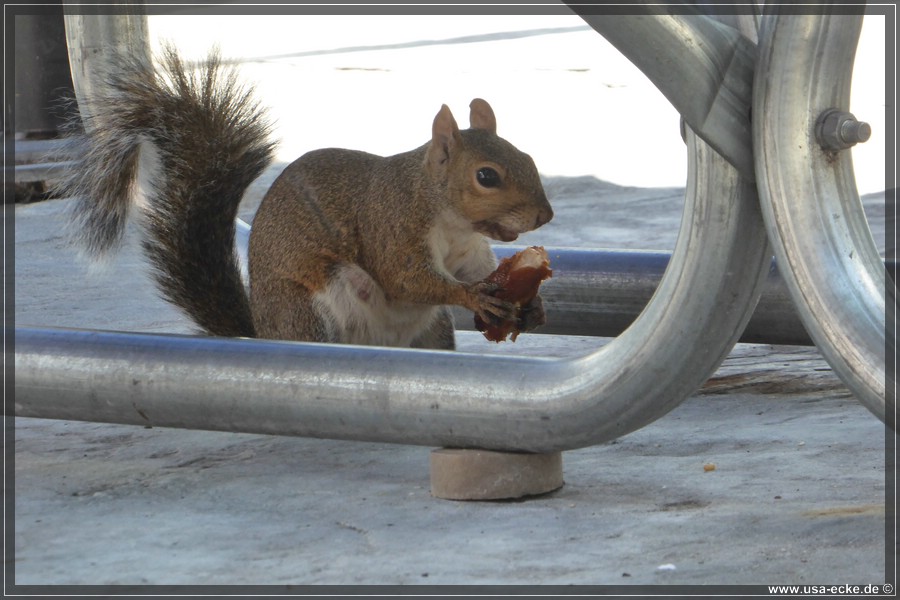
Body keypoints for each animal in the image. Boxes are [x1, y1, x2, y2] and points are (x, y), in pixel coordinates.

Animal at [59, 48, 552, 352]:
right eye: (486, 176)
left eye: (529, 156)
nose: (545, 215)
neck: (446, 218)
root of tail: (266, 332)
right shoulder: (391, 225)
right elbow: (405, 278)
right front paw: (473, 296)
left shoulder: (467, 251)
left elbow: (478, 270)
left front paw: (532, 304)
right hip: (307, 311)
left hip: (432, 330)